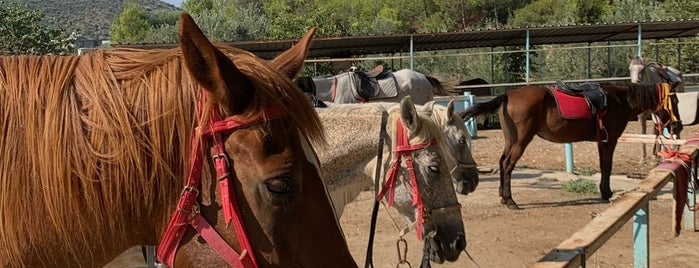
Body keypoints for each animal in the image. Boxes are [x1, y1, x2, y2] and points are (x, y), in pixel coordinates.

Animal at [462, 81, 680, 209]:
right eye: (675, 100)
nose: (676, 125)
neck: (620, 100)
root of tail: (507, 96)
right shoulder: (610, 140)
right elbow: (607, 166)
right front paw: (606, 192)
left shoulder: (602, 141)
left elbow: (604, 166)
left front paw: (605, 191)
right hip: (522, 140)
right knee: (508, 165)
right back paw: (510, 201)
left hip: (511, 140)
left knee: (501, 163)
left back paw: (502, 196)